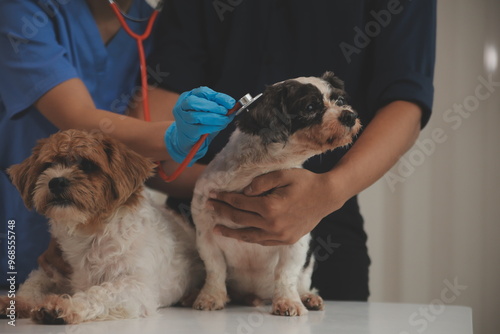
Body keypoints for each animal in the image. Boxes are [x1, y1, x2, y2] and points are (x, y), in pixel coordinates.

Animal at [2, 130, 201, 324]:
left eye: (87, 165)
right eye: (48, 165)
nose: (56, 181)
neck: (88, 231)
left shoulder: (136, 286)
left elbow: (99, 292)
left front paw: (64, 305)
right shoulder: (52, 267)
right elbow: (32, 285)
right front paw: (15, 303)